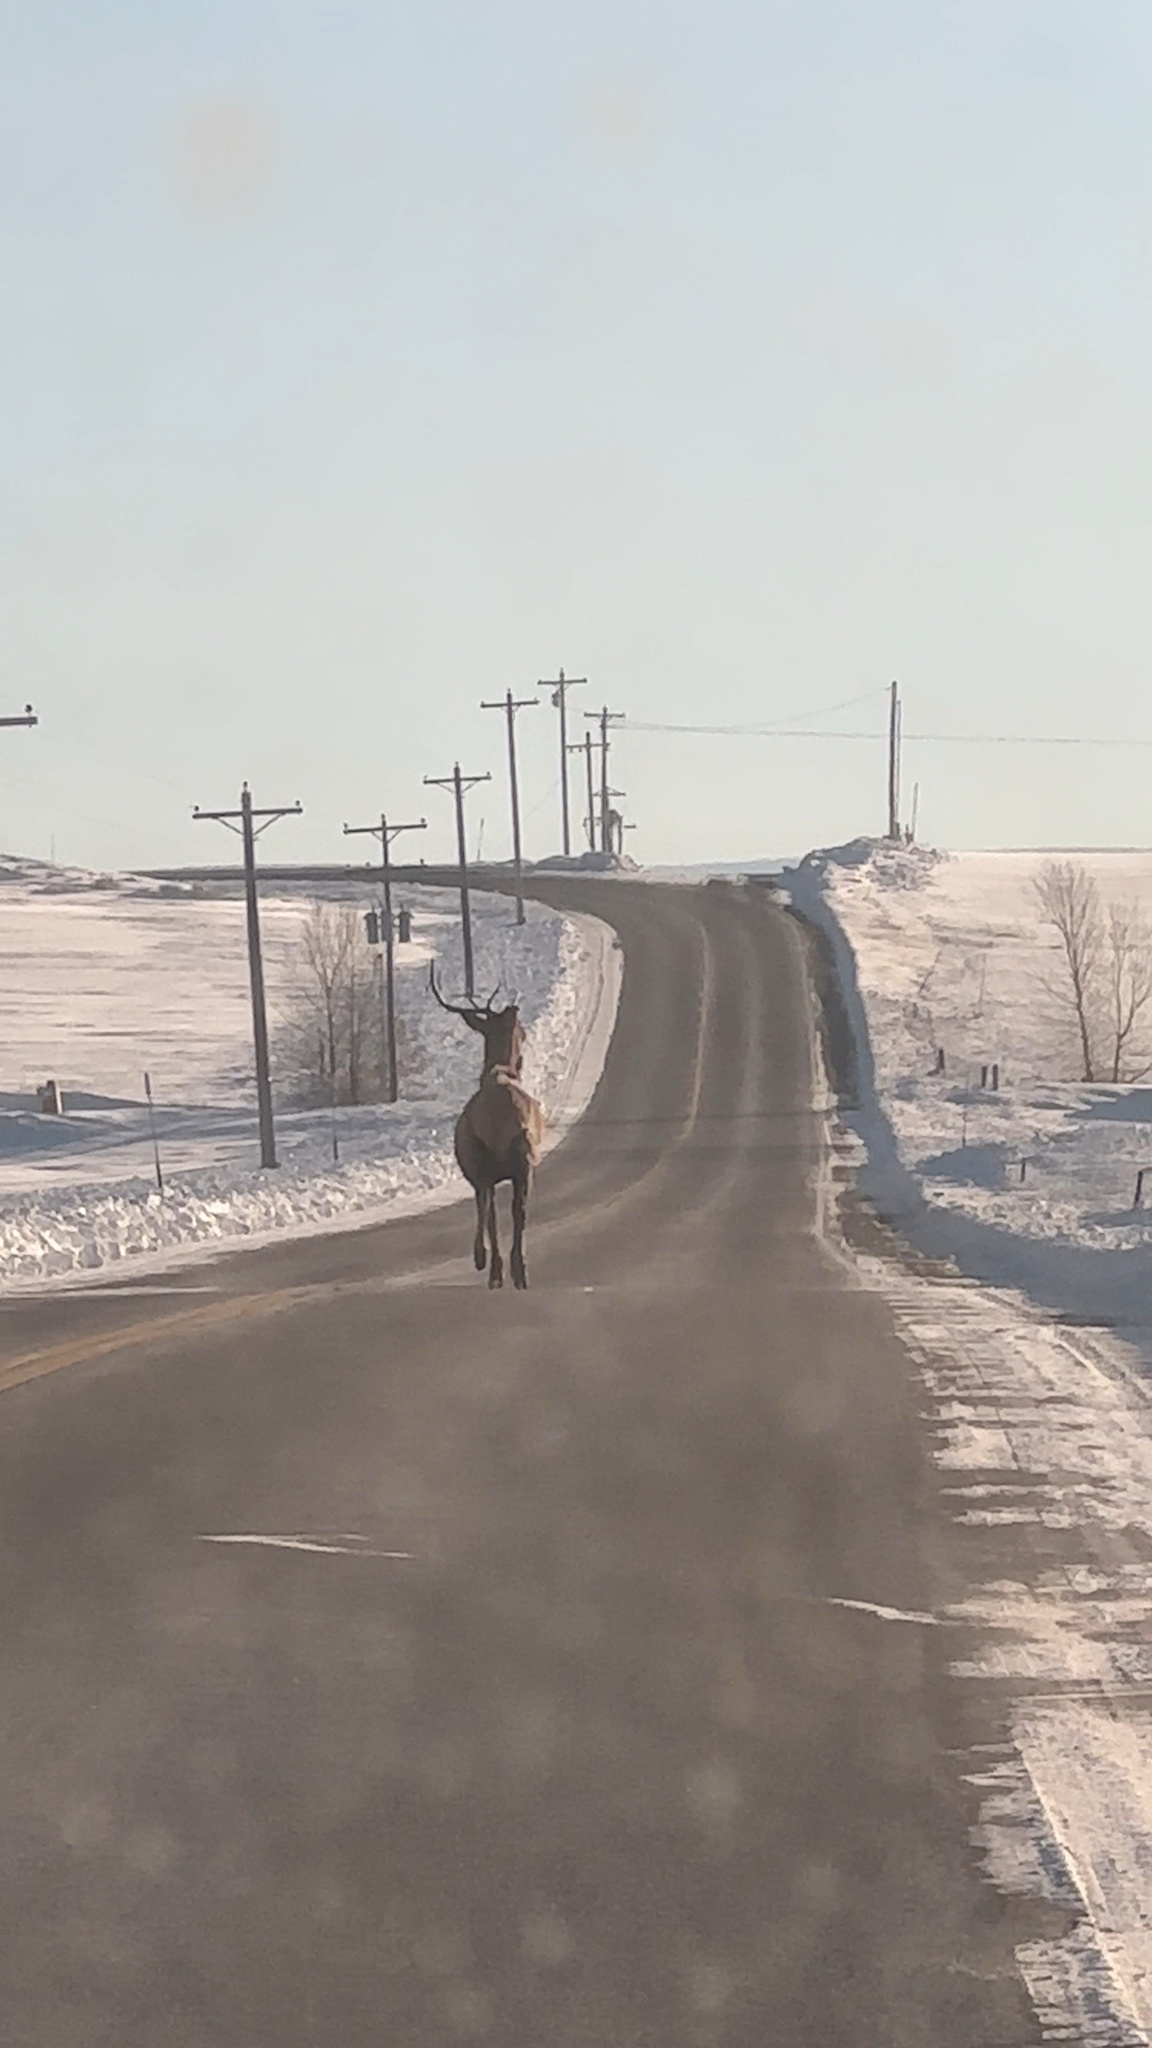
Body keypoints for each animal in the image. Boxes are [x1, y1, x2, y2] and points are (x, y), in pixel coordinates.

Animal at [428, 962, 545, 1286]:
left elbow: (484, 1210)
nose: (520, 1061)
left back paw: (493, 1268)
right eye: (523, 1032)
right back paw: (519, 1270)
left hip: (484, 1160)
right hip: (524, 1161)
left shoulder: (476, 1169)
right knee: (519, 1210)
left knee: (491, 1209)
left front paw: (483, 1259)